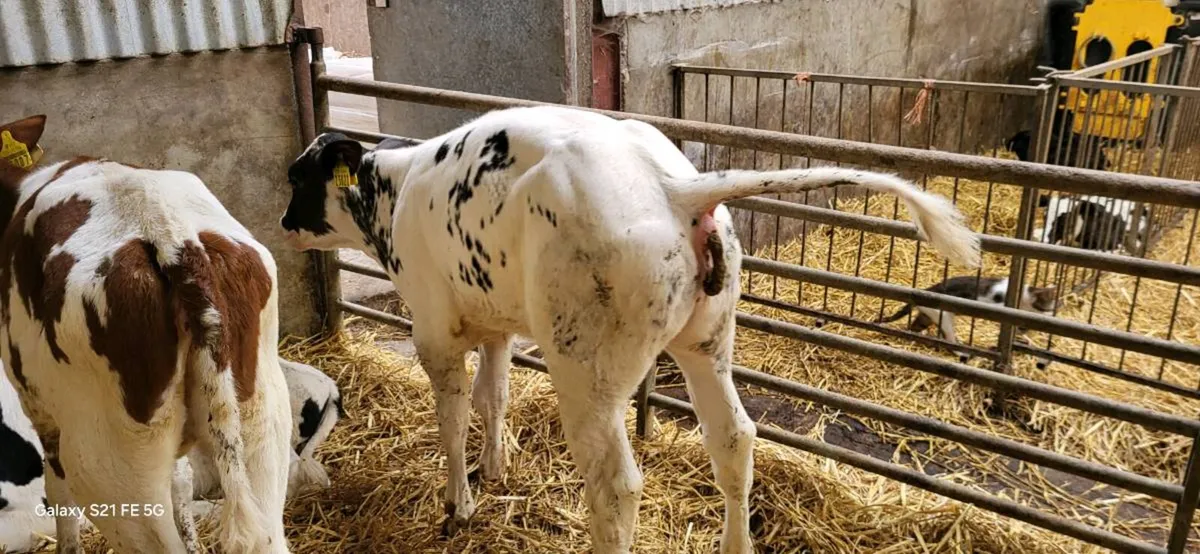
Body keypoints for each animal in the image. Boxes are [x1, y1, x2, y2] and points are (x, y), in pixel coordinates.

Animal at [0, 114, 292, 554]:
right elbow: (181, 481)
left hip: (106, 462)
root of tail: (174, 241)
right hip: (262, 423)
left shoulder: (39, 408)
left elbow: (59, 494)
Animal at [280, 105, 980, 553]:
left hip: (586, 371)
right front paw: (495, 470)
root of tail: (672, 184)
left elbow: (451, 418)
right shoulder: (495, 323)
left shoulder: (433, 328)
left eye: (297, 176)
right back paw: (735, 542)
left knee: (616, 487)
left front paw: (459, 503)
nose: (282, 222)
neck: (395, 194)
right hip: (707, 341)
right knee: (734, 439)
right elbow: (494, 397)